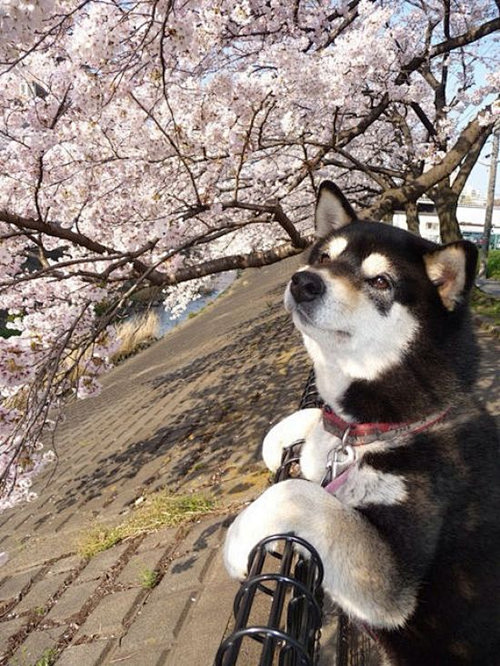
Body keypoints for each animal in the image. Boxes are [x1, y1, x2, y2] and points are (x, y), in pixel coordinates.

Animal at [226, 182, 500, 664]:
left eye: (380, 281)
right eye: (322, 257)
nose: (304, 281)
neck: (398, 422)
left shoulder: (390, 583)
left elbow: (299, 494)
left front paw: (240, 538)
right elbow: (317, 421)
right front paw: (283, 441)